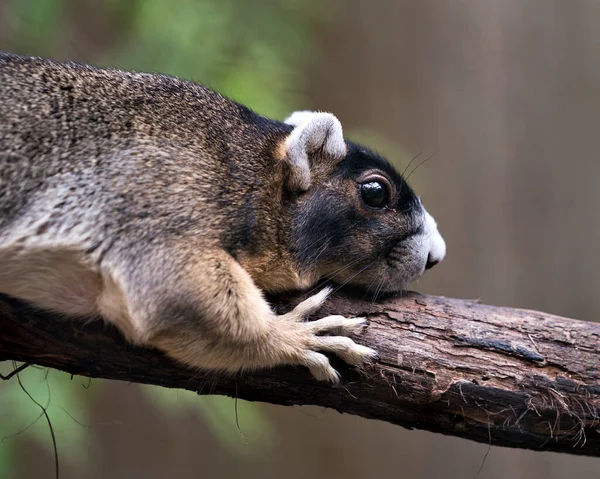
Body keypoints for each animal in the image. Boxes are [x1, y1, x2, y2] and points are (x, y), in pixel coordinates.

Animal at [1, 52, 446, 382]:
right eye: (375, 192)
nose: (436, 256)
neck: (249, 173)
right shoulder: (156, 205)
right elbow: (171, 295)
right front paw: (298, 335)